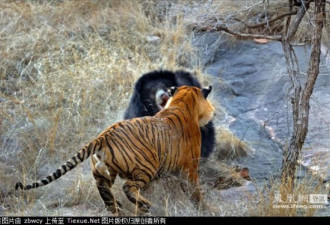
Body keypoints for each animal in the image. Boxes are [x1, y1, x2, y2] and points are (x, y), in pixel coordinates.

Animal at [15, 85, 215, 214]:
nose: (213, 111)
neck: (181, 102)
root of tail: (104, 135)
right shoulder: (190, 168)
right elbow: (195, 192)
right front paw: (204, 209)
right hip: (146, 167)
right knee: (128, 187)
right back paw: (146, 206)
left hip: (104, 172)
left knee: (104, 189)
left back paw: (117, 208)